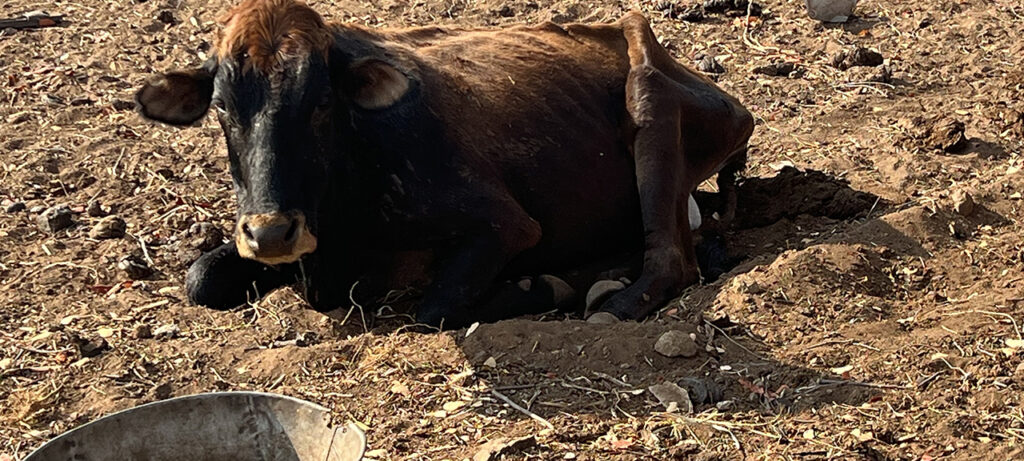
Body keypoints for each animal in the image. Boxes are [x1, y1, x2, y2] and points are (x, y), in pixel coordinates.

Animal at [136, 0, 753, 327]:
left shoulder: (504, 225)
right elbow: (200, 276)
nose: (271, 233)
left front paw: (539, 287)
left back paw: (601, 291)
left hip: (650, 102)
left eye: (322, 102)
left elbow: (430, 309)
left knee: (669, 262)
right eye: (221, 107)